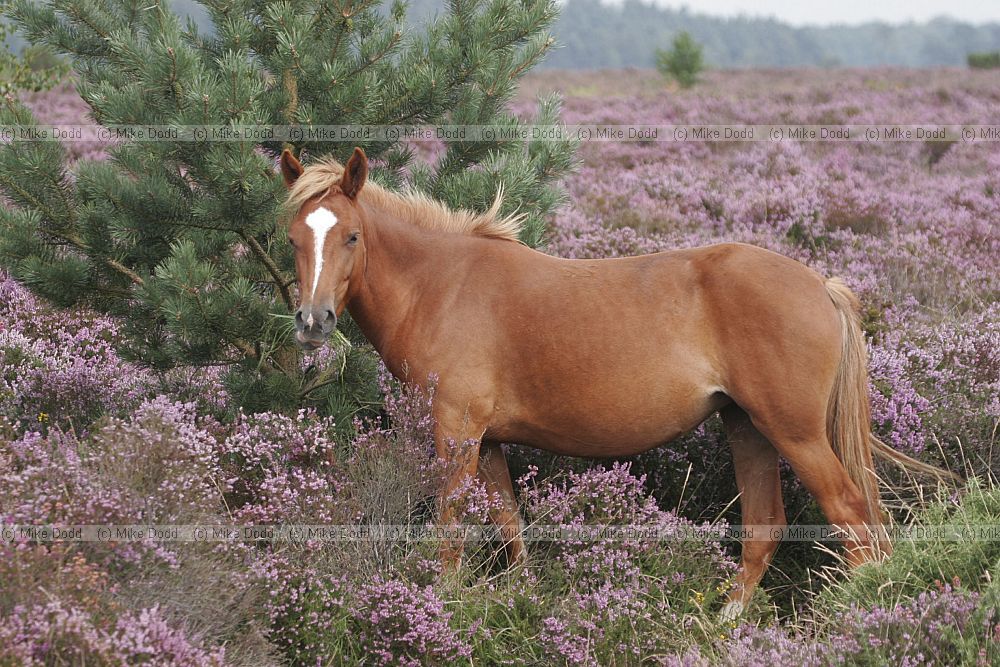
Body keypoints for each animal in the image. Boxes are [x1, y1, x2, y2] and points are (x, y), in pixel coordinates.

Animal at [278, 146, 947, 617]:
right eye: (293, 239)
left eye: (352, 235)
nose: (313, 322)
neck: (442, 286)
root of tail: (819, 284)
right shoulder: (488, 442)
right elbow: (510, 526)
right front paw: (522, 603)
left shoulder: (457, 434)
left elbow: (451, 530)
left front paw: (444, 606)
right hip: (748, 427)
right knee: (766, 526)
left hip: (796, 434)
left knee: (853, 517)